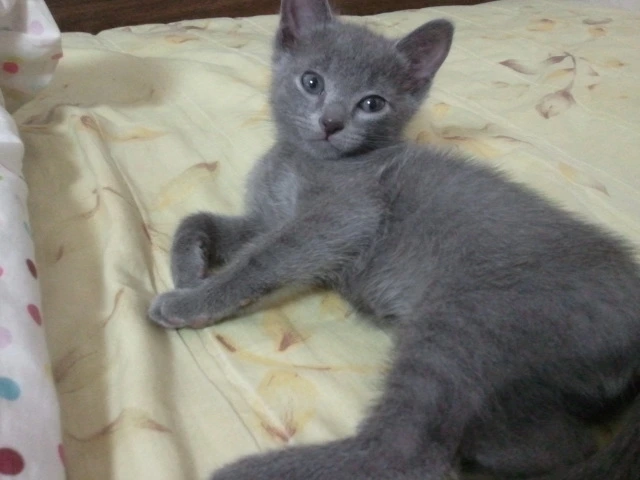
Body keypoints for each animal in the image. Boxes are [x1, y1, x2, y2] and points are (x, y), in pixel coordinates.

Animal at [148, 0, 640, 479]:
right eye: (312, 81)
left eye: (372, 103)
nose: (331, 122)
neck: (299, 160)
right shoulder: (272, 216)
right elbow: (201, 221)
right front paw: (188, 268)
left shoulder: (343, 216)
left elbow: (261, 259)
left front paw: (190, 301)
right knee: (557, 443)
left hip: (470, 320)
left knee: (407, 450)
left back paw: (251, 472)